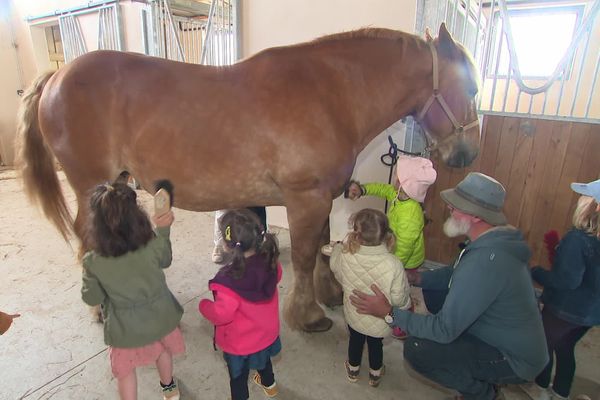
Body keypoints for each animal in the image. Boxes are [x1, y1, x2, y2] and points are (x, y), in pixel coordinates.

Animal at [16, 23, 480, 332]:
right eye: (473, 88)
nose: (467, 153)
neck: (331, 94)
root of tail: (57, 76)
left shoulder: (322, 197)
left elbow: (324, 245)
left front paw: (329, 295)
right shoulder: (305, 198)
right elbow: (307, 255)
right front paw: (307, 315)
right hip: (89, 184)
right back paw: (100, 310)